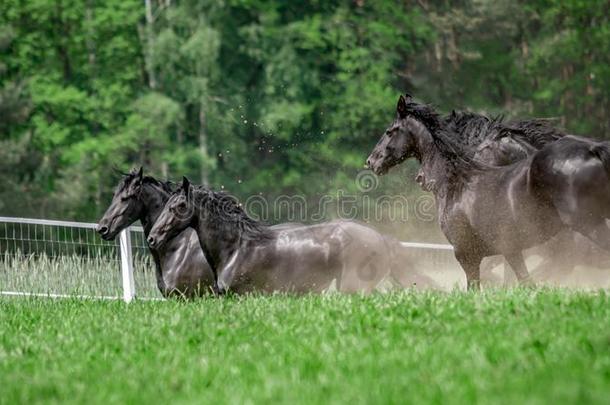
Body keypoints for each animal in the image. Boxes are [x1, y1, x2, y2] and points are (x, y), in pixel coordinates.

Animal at [366, 95, 610, 288]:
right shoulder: (511, 251)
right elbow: (523, 281)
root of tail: (592, 150)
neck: (454, 184)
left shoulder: (467, 254)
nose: (371, 161)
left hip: (588, 225)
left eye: (389, 131)